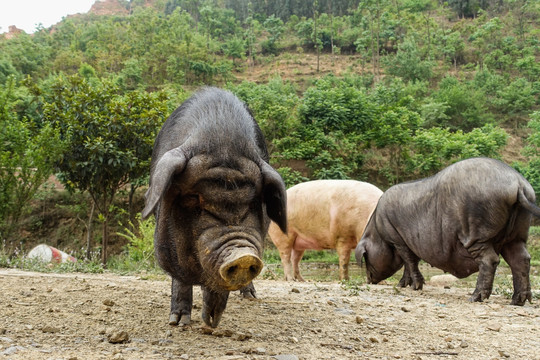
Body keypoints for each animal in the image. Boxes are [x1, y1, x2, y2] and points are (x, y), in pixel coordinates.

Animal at [142, 86, 286, 326]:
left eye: (254, 201)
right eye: (194, 198)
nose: (243, 255)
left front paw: (211, 323)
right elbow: (181, 276)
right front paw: (179, 322)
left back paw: (250, 297)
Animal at [354, 157, 540, 304]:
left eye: (366, 258)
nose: (369, 280)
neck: (377, 230)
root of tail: (518, 184)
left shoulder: (396, 238)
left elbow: (410, 261)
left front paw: (416, 287)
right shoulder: (408, 242)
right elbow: (409, 262)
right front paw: (403, 285)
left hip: (476, 231)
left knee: (491, 259)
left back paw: (474, 298)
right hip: (517, 233)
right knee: (521, 259)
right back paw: (518, 301)